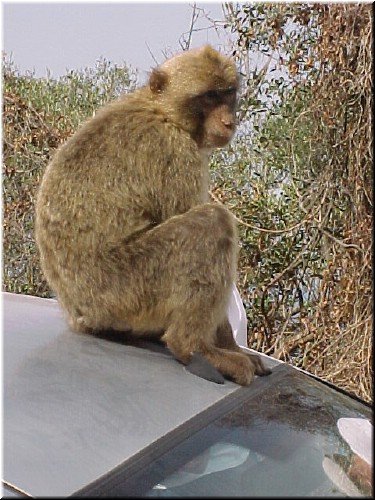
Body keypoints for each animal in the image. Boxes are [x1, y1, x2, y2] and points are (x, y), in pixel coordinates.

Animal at [35, 44, 272, 386]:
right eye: (208, 97)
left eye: (227, 94)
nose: (229, 121)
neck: (164, 112)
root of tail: (77, 314)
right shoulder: (177, 153)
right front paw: (225, 345)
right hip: (123, 291)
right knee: (211, 224)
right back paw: (191, 345)